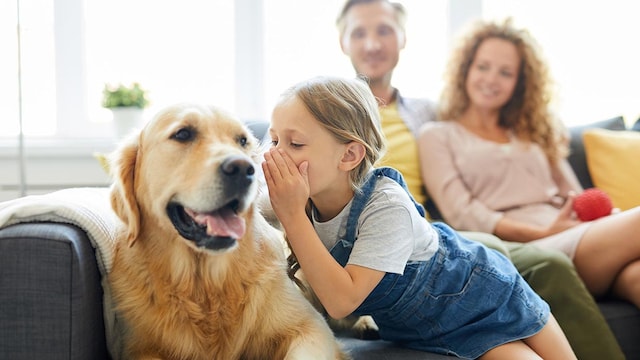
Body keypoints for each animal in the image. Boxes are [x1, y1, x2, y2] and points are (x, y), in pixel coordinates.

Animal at [107, 102, 348, 358]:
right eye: (183, 134)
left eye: (242, 141)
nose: (243, 169)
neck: (205, 284)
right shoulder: (138, 347)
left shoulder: (311, 327)